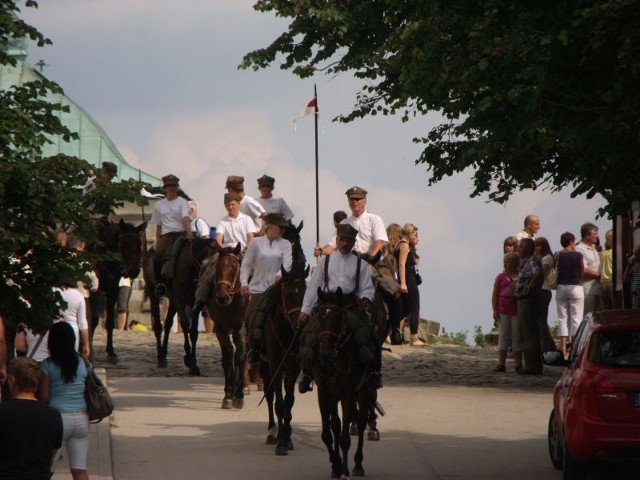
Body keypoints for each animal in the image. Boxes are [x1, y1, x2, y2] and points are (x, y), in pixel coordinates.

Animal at [95, 219, 147, 362]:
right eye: (125, 243)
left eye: (140, 243)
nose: (134, 271)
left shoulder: (113, 290)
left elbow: (110, 322)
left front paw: (111, 351)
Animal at [312, 288, 378, 480]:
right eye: (320, 317)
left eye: (337, 318)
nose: (325, 355)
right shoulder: (324, 394)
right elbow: (328, 433)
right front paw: (335, 465)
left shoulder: (347, 395)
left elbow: (344, 438)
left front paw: (344, 470)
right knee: (337, 425)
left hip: (362, 391)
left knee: (362, 422)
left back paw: (358, 464)